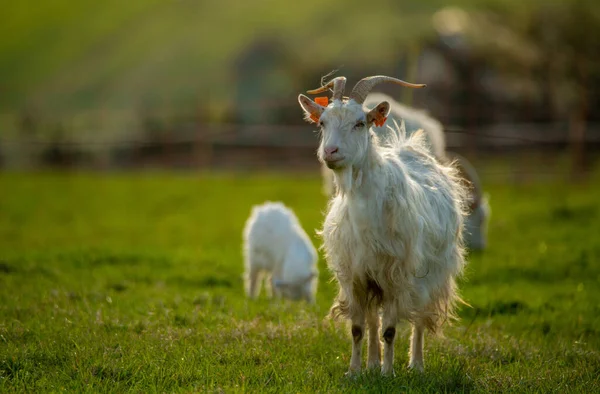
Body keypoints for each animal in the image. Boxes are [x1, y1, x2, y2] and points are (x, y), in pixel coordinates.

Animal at [298, 75, 466, 374]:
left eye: (359, 123)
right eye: (322, 122)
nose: (330, 151)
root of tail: (410, 147)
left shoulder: (397, 275)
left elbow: (390, 330)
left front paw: (389, 373)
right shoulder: (355, 275)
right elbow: (358, 328)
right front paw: (355, 371)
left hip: (431, 273)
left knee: (419, 318)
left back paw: (415, 364)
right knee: (373, 320)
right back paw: (373, 363)